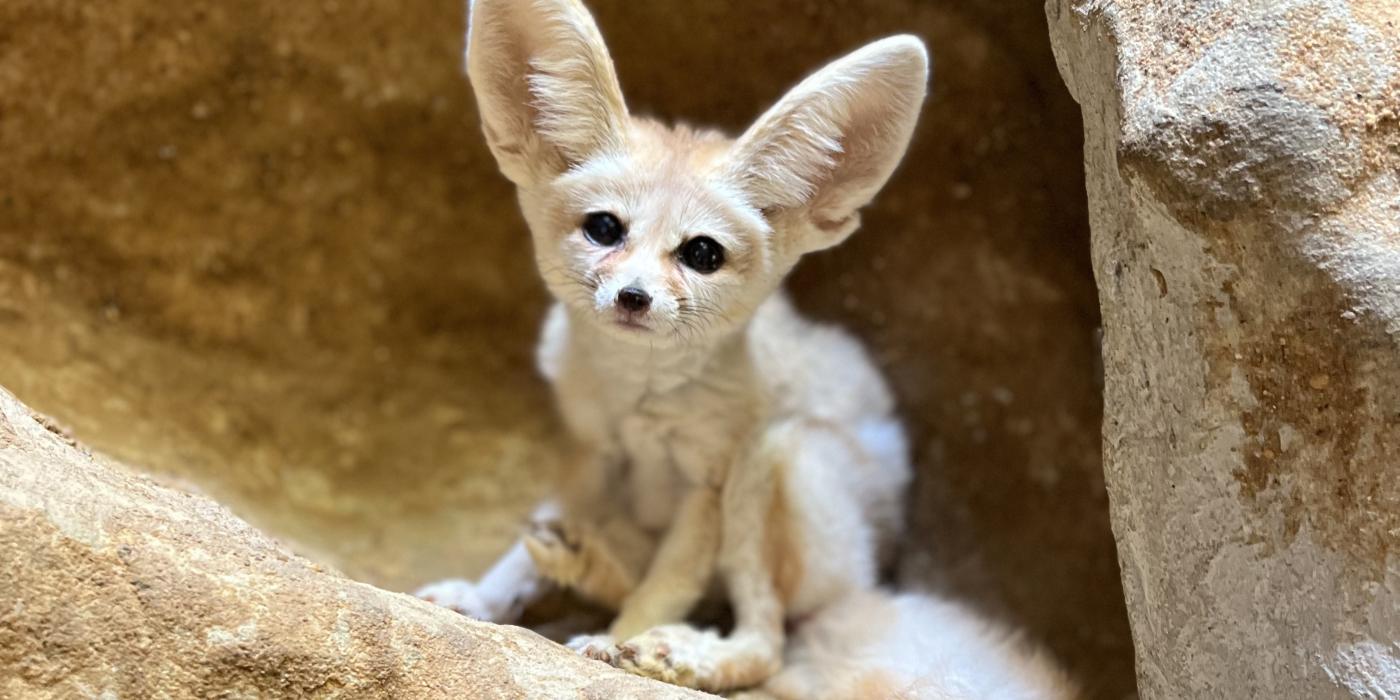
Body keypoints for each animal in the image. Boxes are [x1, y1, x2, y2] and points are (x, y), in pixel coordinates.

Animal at [414, 0, 1069, 697]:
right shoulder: (592, 450)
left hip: (774, 457)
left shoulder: (708, 486)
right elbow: (528, 547)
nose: (633, 298)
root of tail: (871, 582)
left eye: (702, 254)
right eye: (604, 229)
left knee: (764, 644)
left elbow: (668, 583)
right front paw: (483, 598)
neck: (638, 394)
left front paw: (616, 642)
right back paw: (585, 561)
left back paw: (674, 651)